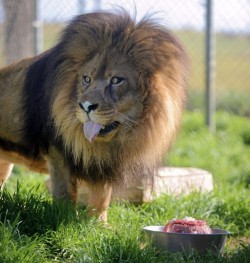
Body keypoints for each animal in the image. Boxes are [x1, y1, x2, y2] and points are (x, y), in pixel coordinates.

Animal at [0, 9, 188, 222]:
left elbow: (102, 197)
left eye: (116, 80)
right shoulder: (58, 155)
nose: (86, 106)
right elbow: (65, 196)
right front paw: (65, 221)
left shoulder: (103, 163)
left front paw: (98, 224)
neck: (110, 142)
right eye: (86, 79)